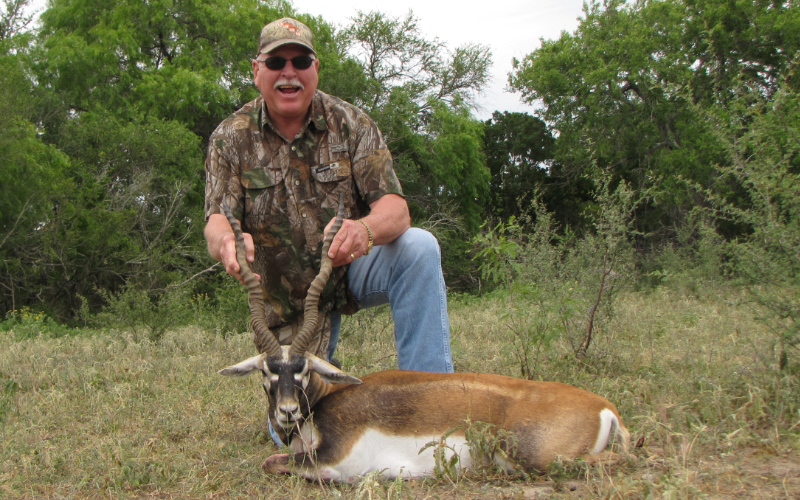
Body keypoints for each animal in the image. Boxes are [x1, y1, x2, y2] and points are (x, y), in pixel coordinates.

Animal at [217, 196, 624, 484]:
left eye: (302, 370)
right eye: (267, 372)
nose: (287, 411)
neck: (323, 401)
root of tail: (606, 409)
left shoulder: (333, 460)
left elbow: (273, 462)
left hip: (537, 457)